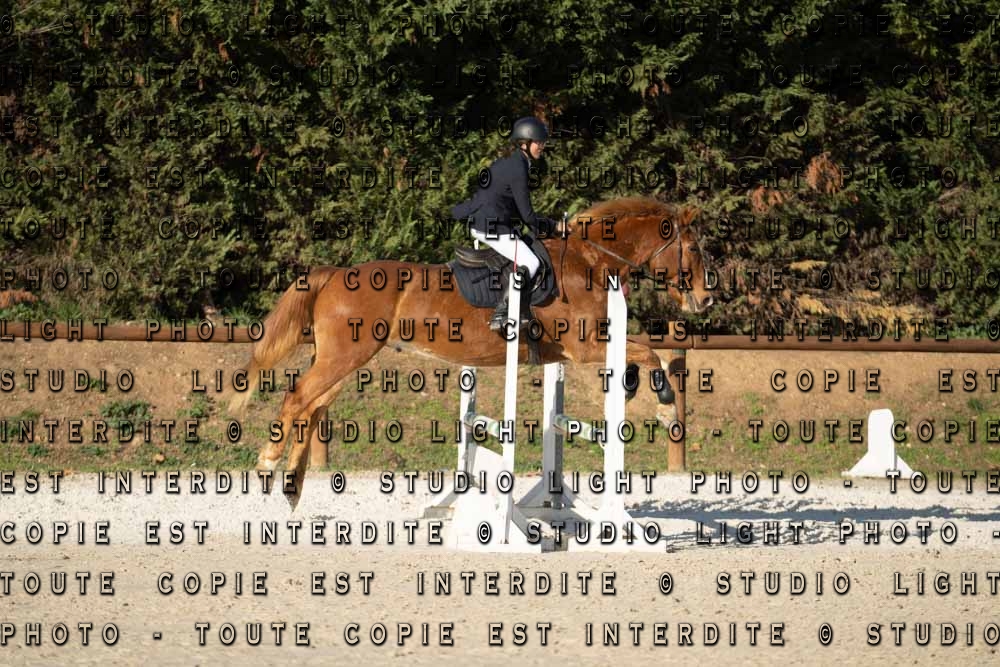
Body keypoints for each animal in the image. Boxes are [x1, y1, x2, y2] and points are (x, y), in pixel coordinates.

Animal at [228, 196, 713, 508]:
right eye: (692, 248)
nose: (706, 301)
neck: (591, 263)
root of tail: (333, 273)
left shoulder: (584, 349)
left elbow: (640, 352)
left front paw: (631, 388)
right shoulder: (585, 346)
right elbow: (649, 352)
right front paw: (665, 404)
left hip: (343, 360)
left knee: (311, 407)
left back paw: (292, 485)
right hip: (344, 357)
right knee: (297, 399)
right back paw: (268, 466)